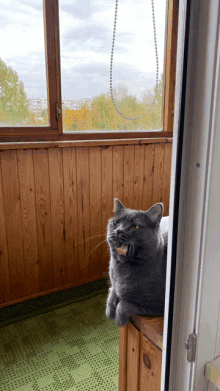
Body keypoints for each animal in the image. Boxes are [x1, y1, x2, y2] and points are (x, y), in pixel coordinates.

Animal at [105, 199, 168, 328]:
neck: (122, 270)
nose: (118, 231)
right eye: (115, 223)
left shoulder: (158, 305)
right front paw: (109, 310)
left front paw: (119, 321)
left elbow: (124, 304)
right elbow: (113, 290)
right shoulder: (114, 283)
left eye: (134, 226)